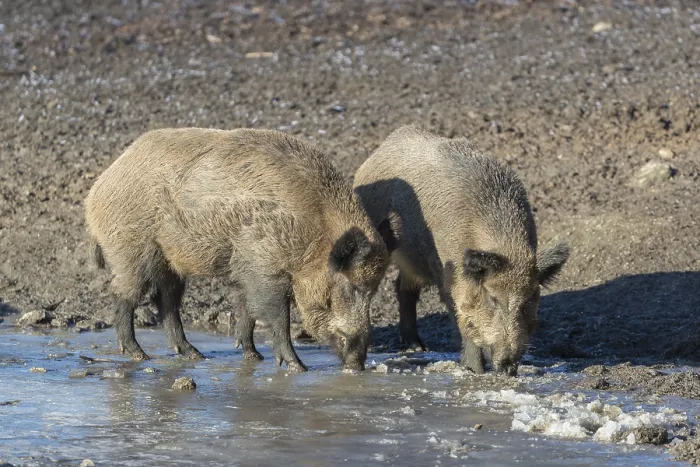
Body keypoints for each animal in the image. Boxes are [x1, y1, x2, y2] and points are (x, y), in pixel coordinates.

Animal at [84, 128, 397, 372]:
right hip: (130, 249)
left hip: (169, 261)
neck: (313, 234)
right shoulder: (264, 264)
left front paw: (253, 357)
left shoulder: (249, 268)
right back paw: (140, 355)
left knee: (167, 302)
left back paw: (195, 355)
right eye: (350, 287)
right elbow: (276, 315)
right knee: (124, 295)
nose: (356, 365)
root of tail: (98, 189)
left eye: (374, 290)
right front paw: (297, 367)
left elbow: (248, 308)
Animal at [353, 125, 569, 376]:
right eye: (493, 298)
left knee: (403, 288)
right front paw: (475, 371)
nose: (508, 367)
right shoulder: (449, 274)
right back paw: (414, 348)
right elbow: (461, 316)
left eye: (528, 301)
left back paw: (417, 347)